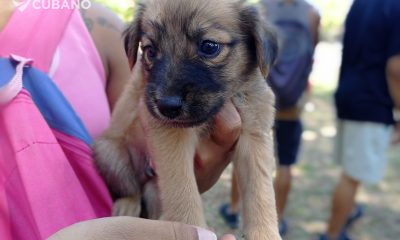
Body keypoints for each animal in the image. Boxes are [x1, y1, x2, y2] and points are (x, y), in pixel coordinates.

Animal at [94, 0, 282, 239]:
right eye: (150, 50)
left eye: (209, 47)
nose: (166, 106)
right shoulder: (171, 135)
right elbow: (182, 192)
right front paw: (193, 227)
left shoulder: (255, 132)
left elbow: (260, 190)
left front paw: (265, 233)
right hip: (109, 153)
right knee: (131, 188)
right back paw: (127, 206)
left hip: (152, 189)